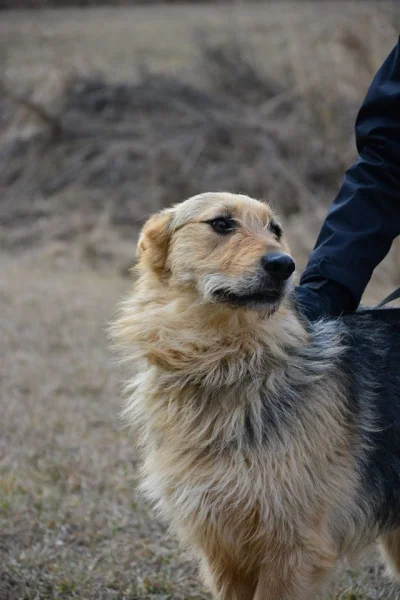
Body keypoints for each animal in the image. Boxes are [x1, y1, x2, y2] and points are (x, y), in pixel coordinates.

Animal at [111, 192, 400, 600]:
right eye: (221, 224)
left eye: (275, 230)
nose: (284, 265)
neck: (226, 365)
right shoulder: (223, 549)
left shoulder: (293, 548)